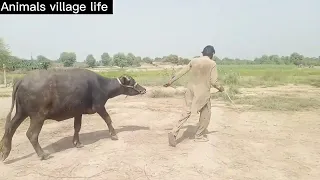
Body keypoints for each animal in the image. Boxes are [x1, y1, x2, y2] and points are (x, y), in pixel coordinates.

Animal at [0, 68, 146, 160]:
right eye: (132, 81)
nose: (143, 89)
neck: (101, 85)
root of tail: (22, 80)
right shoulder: (99, 106)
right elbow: (108, 119)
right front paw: (114, 135)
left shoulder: (78, 112)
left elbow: (77, 127)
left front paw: (77, 143)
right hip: (38, 116)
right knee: (31, 134)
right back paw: (43, 154)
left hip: (21, 112)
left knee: (10, 128)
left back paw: (5, 152)